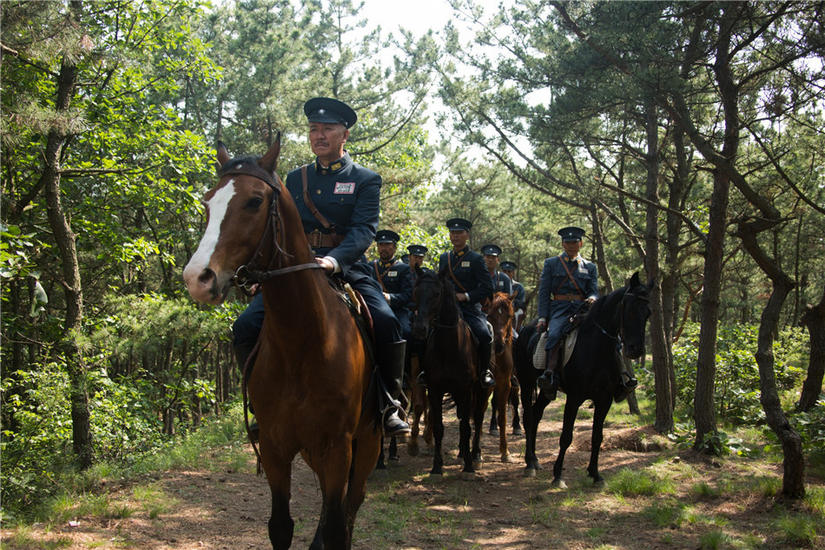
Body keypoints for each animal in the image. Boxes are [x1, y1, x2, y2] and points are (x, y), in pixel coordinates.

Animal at [182, 137, 382, 548]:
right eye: (208, 202)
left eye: (254, 201)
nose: (198, 278)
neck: (302, 345)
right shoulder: (275, 448)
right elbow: (281, 526)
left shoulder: (338, 447)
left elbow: (337, 527)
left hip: (367, 445)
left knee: (350, 509)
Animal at [412, 270, 490, 476]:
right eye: (416, 292)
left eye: (437, 294)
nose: (419, 328)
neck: (449, 346)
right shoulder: (435, 390)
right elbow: (439, 427)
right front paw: (437, 466)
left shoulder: (466, 390)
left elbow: (466, 427)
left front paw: (469, 466)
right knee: (464, 416)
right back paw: (463, 452)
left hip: (481, 390)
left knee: (477, 419)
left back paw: (475, 455)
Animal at [516, 272, 652, 488]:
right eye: (630, 310)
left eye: (648, 313)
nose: (636, 350)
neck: (596, 347)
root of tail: (525, 330)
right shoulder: (574, 398)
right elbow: (566, 437)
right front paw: (558, 476)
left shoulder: (604, 400)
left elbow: (597, 437)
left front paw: (595, 474)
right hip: (526, 383)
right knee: (528, 417)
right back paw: (529, 463)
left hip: (547, 391)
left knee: (536, 414)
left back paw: (535, 460)